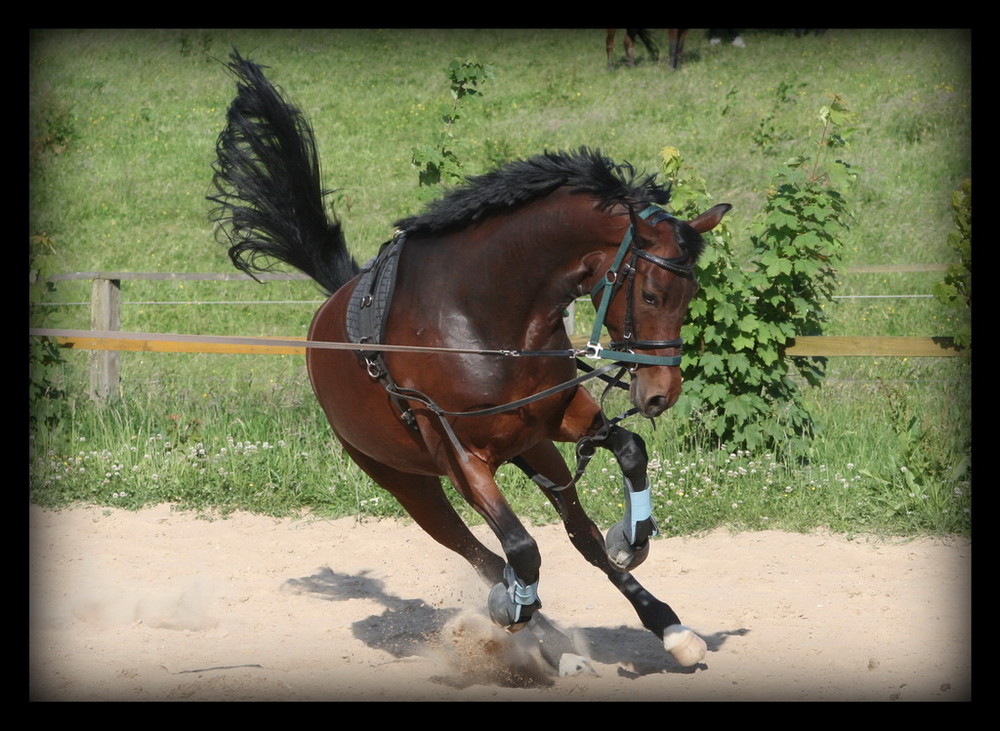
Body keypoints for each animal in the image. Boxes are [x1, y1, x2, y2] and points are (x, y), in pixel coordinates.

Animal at [209, 51, 728, 676]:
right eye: (651, 295)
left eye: (689, 295)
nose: (660, 393)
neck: (484, 320)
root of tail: (332, 306)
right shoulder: (459, 453)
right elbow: (521, 550)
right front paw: (513, 610)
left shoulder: (559, 415)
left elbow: (629, 452)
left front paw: (632, 539)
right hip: (408, 484)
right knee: (478, 550)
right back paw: (537, 634)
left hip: (533, 448)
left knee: (575, 533)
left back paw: (661, 627)